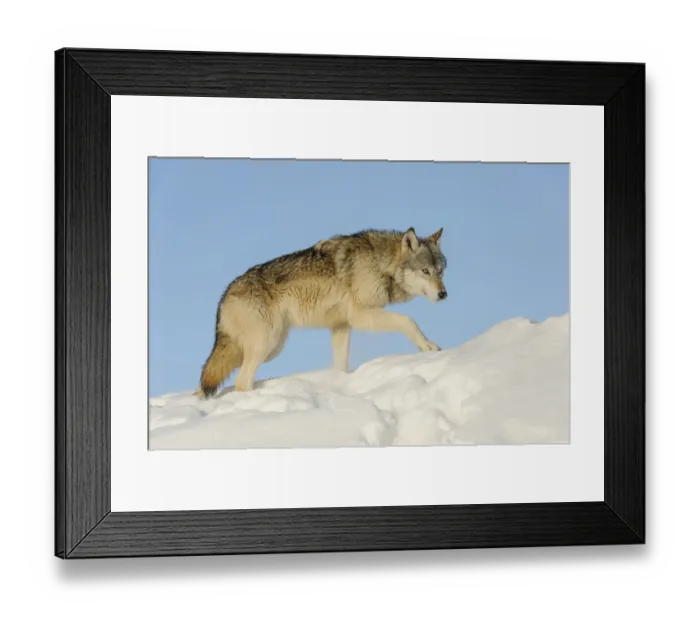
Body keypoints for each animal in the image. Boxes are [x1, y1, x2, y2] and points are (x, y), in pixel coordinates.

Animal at [197, 227, 448, 397]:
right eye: (425, 271)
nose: (443, 294)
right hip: (267, 344)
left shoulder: (341, 326)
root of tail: (225, 294)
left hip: (265, 348)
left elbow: (341, 365)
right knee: (241, 381)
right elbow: (408, 321)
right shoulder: (361, 316)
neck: (381, 264)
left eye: (440, 271)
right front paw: (427, 347)